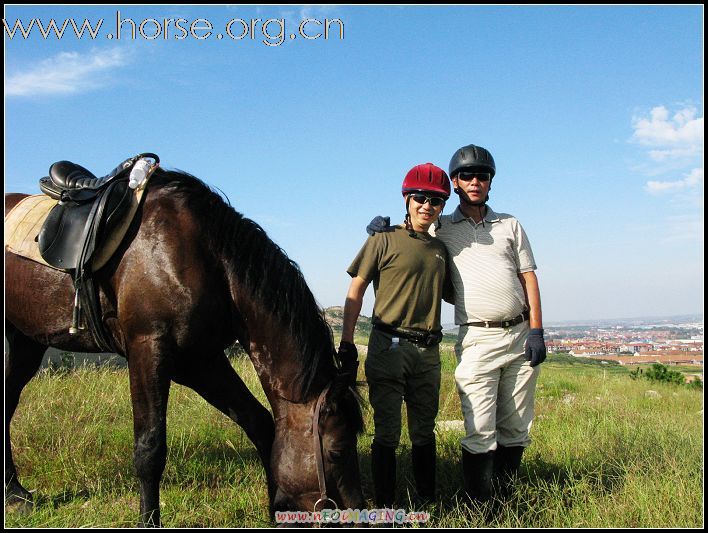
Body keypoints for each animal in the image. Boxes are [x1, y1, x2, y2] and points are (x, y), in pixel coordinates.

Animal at [6, 168, 366, 524]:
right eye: (337, 451)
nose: (359, 513)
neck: (209, 259)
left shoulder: (200, 361)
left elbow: (260, 424)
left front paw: (275, 508)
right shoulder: (149, 349)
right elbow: (149, 448)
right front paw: (148, 520)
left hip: (26, 343)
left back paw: (15, 494)